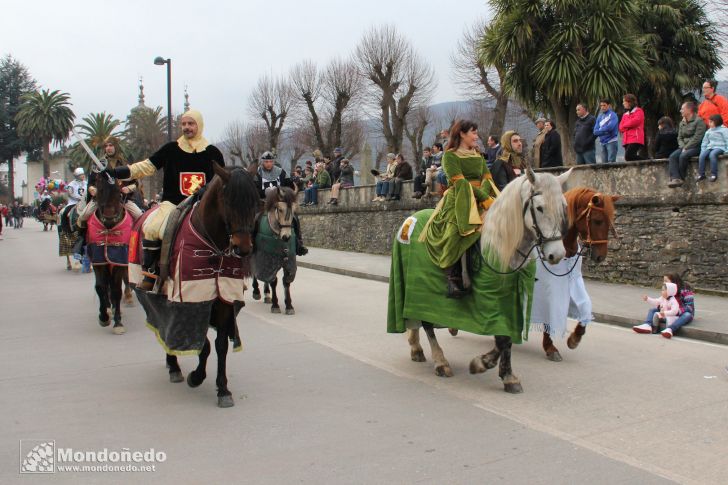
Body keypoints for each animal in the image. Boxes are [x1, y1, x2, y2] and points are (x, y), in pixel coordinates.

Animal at [85, 177, 134, 332]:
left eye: (119, 193)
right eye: (99, 190)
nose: (109, 217)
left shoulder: (120, 259)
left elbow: (116, 289)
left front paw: (118, 322)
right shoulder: (98, 260)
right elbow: (101, 287)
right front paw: (103, 317)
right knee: (107, 285)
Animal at [132, 164, 260, 406]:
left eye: (255, 202)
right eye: (228, 201)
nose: (244, 248)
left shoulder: (224, 300)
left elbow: (220, 345)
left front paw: (223, 389)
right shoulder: (190, 300)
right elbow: (202, 343)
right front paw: (196, 377)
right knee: (163, 323)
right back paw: (173, 366)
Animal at [250, 184, 296, 314]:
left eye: (294, 209)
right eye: (280, 209)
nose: (286, 237)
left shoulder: (288, 260)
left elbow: (286, 281)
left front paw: (289, 305)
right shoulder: (268, 258)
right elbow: (273, 281)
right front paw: (275, 305)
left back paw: (266, 294)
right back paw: (256, 291)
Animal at [390, 168, 572, 392]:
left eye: (563, 207)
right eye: (539, 208)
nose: (557, 254)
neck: (500, 247)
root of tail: (409, 220)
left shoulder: (510, 302)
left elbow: (507, 339)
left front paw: (508, 376)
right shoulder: (491, 301)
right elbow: (502, 339)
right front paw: (481, 364)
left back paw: (416, 348)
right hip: (421, 290)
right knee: (427, 323)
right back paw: (441, 362)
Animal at [528, 187, 620, 362]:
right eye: (598, 221)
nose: (601, 257)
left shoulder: (574, 282)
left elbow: (585, 307)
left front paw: (575, 338)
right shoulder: (549, 288)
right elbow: (549, 315)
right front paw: (550, 347)